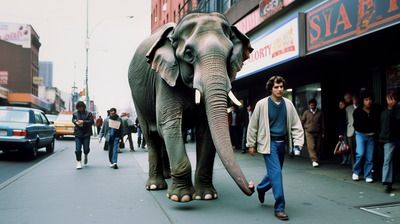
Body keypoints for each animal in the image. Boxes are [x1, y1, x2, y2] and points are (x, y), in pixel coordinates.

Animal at [128, 12, 253, 202]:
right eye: (188, 53)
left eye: (231, 52)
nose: (253, 187)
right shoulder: (164, 79)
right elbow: (169, 124)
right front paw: (181, 197)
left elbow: (206, 130)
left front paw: (207, 195)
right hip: (138, 99)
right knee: (152, 136)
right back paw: (155, 185)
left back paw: (168, 176)